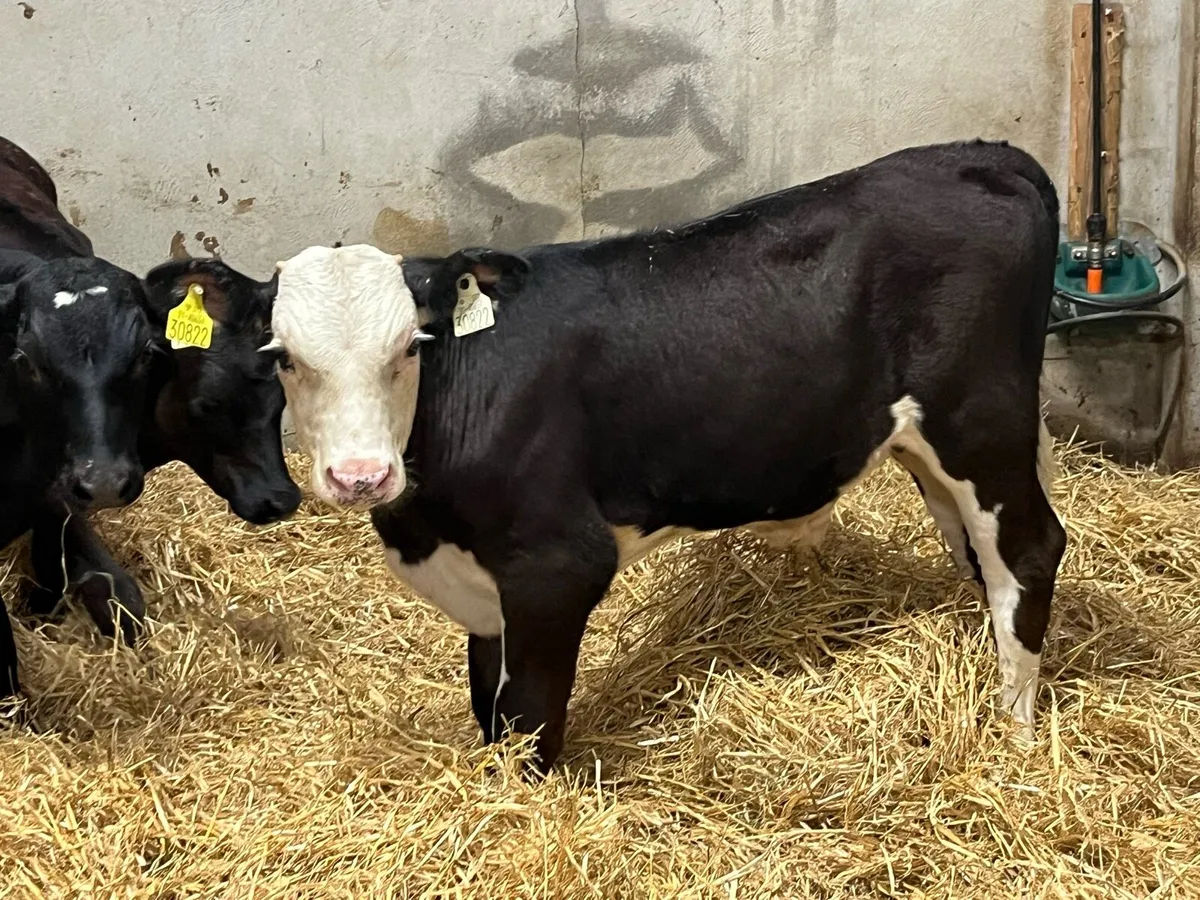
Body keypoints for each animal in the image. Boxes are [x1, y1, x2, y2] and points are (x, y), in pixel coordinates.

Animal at [267, 139, 1067, 773]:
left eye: (411, 347)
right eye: (284, 359)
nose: (360, 476)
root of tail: (984, 153)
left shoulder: (556, 566)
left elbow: (528, 719)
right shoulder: (485, 593)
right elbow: (487, 704)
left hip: (980, 420)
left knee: (1030, 549)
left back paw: (1016, 735)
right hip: (927, 447)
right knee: (979, 556)